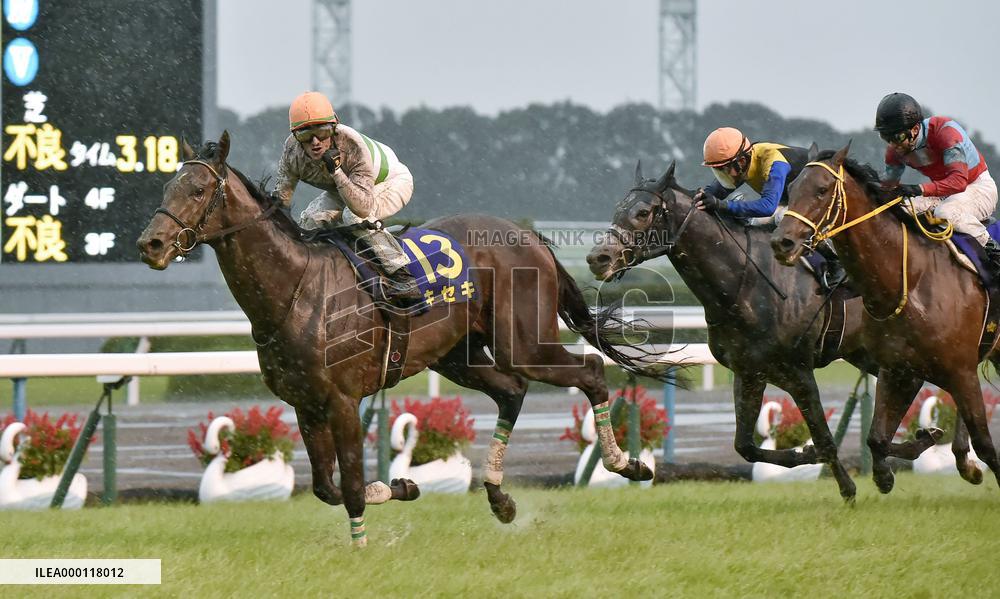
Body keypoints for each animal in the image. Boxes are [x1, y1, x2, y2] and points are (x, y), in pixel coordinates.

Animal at [136, 131, 661, 546]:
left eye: (198, 188)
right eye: (166, 186)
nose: (150, 244)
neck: (297, 289)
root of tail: (531, 238)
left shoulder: (342, 400)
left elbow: (348, 487)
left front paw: (363, 548)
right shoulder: (306, 403)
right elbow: (326, 487)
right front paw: (402, 487)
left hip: (524, 344)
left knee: (588, 371)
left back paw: (627, 464)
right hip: (457, 356)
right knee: (512, 391)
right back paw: (499, 497)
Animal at [586, 160, 884, 501]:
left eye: (644, 212)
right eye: (617, 209)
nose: (598, 259)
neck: (745, 285)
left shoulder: (799, 372)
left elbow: (824, 439)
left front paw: (849, 487)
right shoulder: (750, 372)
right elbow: (745, 446)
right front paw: (804, 454)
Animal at [771, 142, 998, 493]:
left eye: (822, 190)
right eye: (792, 189)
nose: (782, 242)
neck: (910, 280)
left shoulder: (960, 370)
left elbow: (987, 446)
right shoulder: (898, 370)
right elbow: (876, 438)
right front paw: (887, 473)